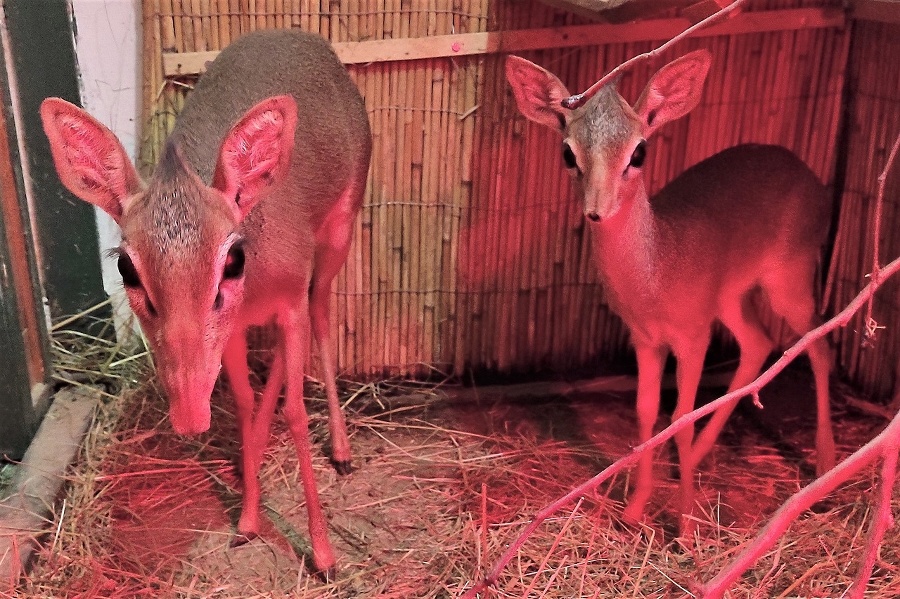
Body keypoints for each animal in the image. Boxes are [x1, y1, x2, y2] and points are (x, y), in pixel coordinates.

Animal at [506, 49, 836, 532]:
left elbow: (680, 415)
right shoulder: (646, 339)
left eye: (639, 151)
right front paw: (635, 509)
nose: (596, 211)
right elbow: (647, 410)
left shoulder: (693, 337)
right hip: (731, 298)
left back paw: (826, 464)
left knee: (818, 343)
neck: (656, 276)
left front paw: (685, 525)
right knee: (759, 342)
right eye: (568, 152)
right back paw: (693, 460)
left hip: (788, 281)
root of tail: (809, 174)